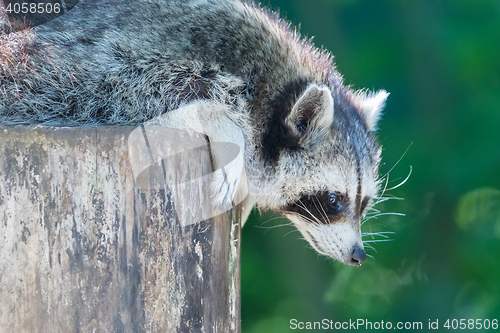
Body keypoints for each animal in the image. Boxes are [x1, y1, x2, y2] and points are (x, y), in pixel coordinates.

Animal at [0, 0, 388, 264]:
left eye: (364, 202)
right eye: (334, 200)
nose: (359, 255)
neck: (267, 86)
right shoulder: (110, 56)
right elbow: (104, 88)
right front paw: (223, 124)